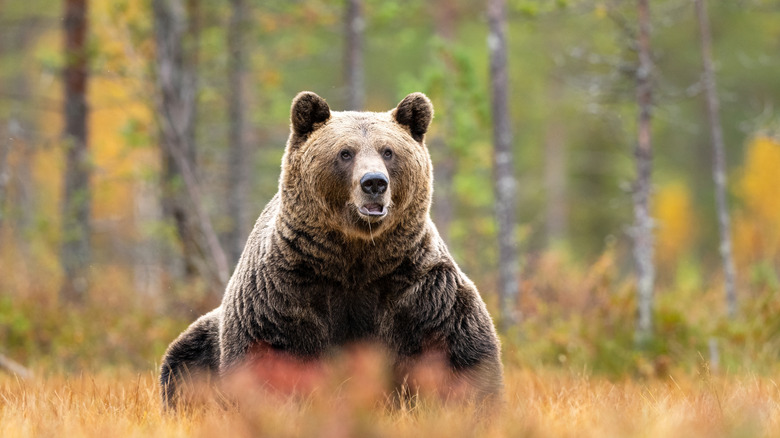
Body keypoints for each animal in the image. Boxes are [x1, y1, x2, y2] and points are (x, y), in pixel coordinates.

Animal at [160, 91, 504, 409]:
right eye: (345, 152)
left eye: (388, 151)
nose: (374, 182)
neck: (354, 257)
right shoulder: (285, 291)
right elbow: (270, 356)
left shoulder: (416, 287)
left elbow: (457, 350)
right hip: (204, 338)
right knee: (183, 363)